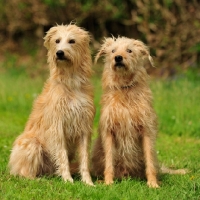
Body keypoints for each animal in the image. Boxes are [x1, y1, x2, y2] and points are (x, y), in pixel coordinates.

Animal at [9, 24, 95, 186]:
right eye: (57, 41)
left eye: (72, 41)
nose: (59, 53)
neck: (70, 81)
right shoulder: (57, 126)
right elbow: (62, 155)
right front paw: (68, 180)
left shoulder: (84, 127)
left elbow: (85, 158)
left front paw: (88, 182)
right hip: (32, 144)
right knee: (24, 174)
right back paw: (39, 180)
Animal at [92, 36, 159, 188]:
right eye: (113, 50)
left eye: (129, 50)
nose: (118, 57)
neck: (125, 88)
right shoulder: (109, 131)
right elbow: (109, 160)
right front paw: (108, 182)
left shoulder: (146, 130)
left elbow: (149, 160)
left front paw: (153, 183)